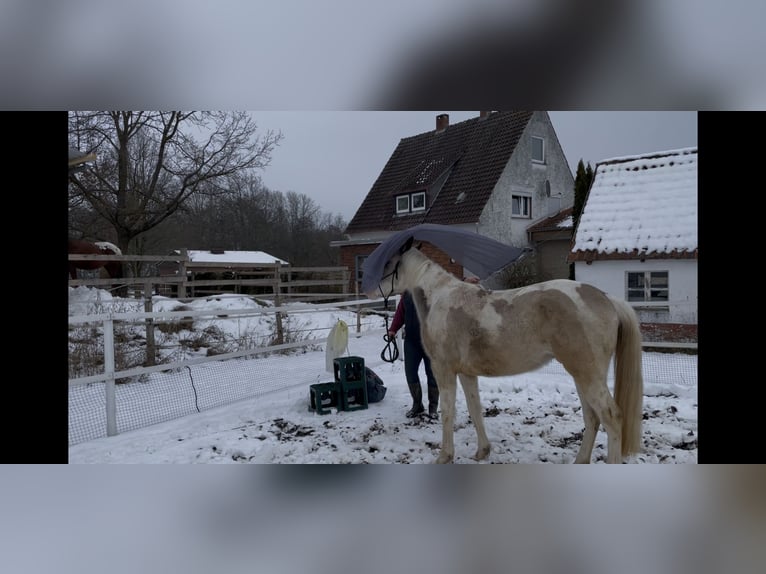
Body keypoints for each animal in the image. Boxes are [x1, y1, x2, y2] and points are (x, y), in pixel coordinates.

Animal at [368, 239, 644, 464]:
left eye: (388, 263)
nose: (369, 288)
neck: (440, 300)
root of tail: (606, 298)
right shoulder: (466, 373)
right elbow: (475, 410)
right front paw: (482, 452)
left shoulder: (443, 370)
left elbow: (448, 412)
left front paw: (445, 456)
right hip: (581, 376)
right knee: (592, 418)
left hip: (588, 376)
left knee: (611, 417)